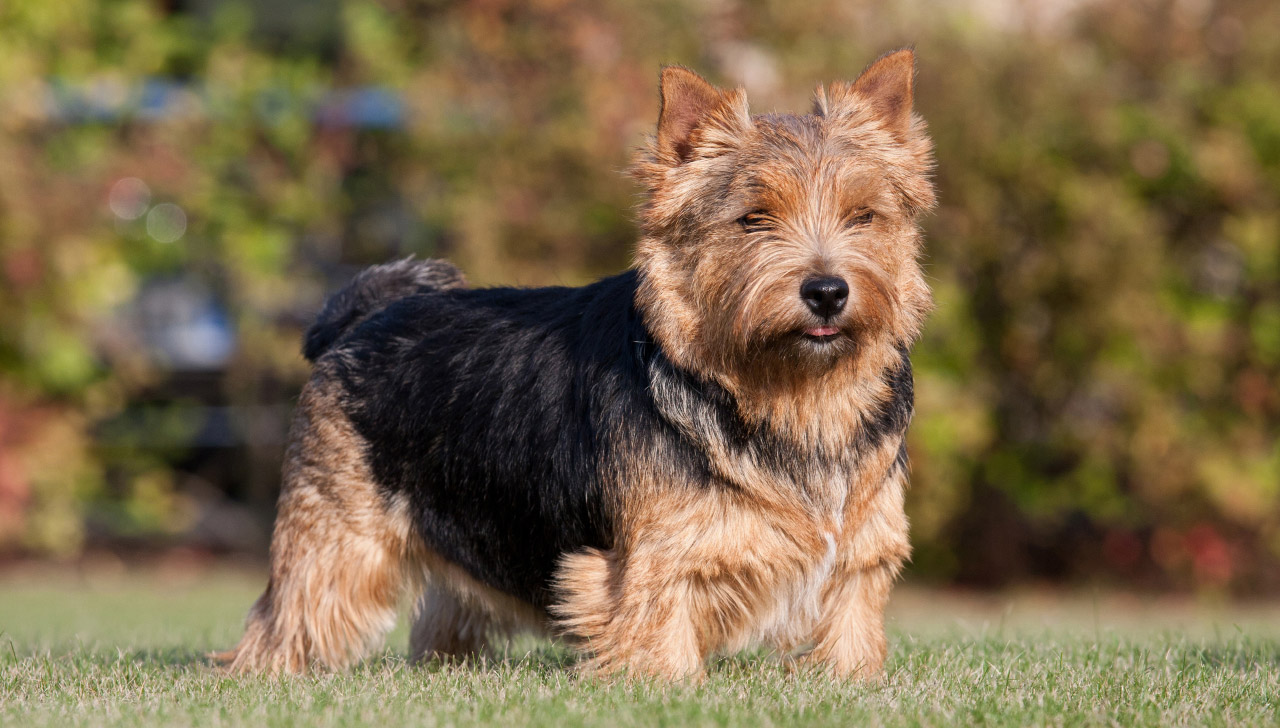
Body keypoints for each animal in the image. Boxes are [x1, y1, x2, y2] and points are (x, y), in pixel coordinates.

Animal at [220, 48, 936, 680]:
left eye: (863, 215)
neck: (793, 396)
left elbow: (850, 629)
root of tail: (362, 315)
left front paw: (851, 681)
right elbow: (659, 637)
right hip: (337, 533)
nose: (827, 290)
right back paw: (266, 672)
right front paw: (667, 685)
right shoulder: (653, 559)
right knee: (292, 610)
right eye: (753, 219)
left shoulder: (861, 552)